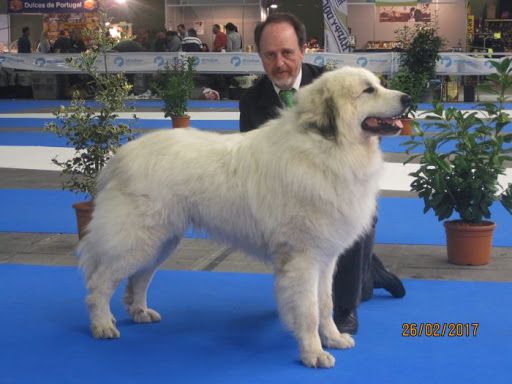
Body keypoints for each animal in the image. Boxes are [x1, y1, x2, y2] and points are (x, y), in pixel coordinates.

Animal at [78, 67, 410, 368]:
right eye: (368, 90)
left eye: (380, 84)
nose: (407, 99)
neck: (327, 148)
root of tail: (121, 157)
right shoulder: (303, 258)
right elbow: (309, 310)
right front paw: (313, 353)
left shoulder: (325, 258)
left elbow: (325, 304)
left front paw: (333, 338)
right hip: (137, 240)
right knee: (99, 283)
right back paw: (102, 324)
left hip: (161, 241)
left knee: (139, 278)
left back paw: (140, 312)